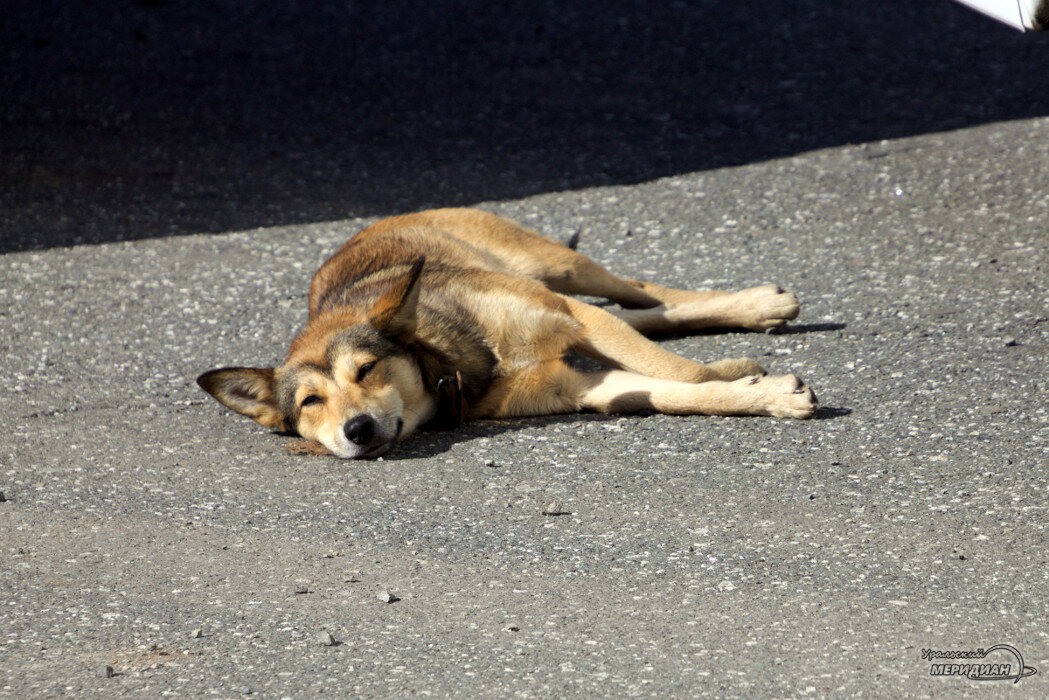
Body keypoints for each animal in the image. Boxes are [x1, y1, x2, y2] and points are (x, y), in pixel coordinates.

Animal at [198, 207, 818, 459]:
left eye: (367, 369)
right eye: (310, 403)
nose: (357, 429)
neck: (451, 363)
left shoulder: (573, 317)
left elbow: (681, 371)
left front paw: (749, 381)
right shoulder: (583, 387)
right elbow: (673, 391)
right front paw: (755, 392)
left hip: (559, 268)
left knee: (641, 293)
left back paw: (759, 303)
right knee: (647, 316)